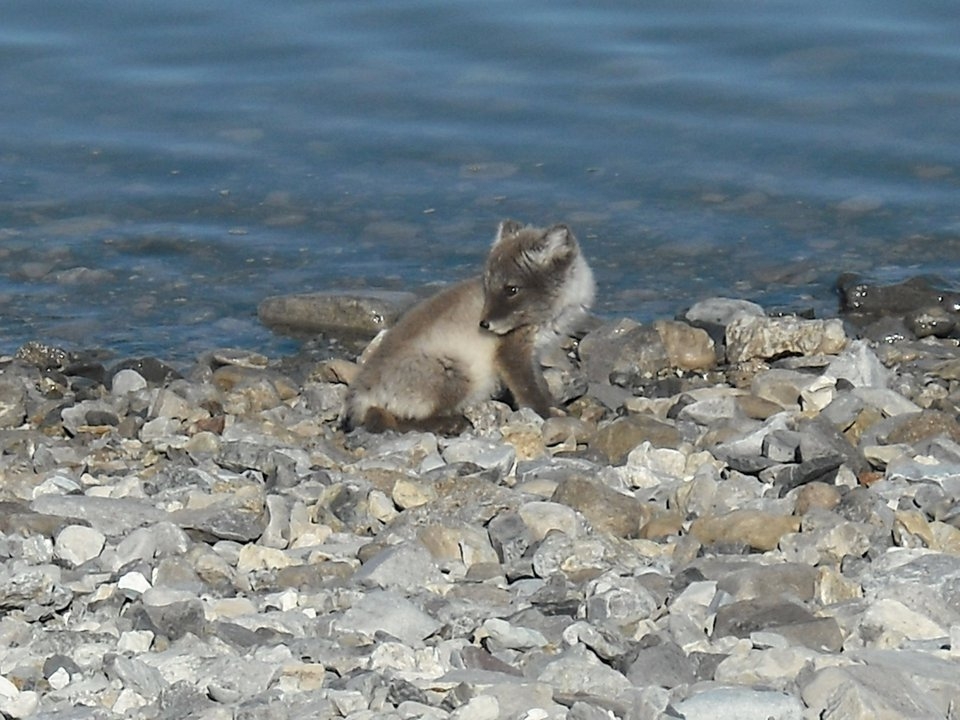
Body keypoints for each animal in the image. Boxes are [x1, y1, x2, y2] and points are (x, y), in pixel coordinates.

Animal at [340, 219, 596, 433]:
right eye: (488, 285)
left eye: (511, 289)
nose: (484, 324)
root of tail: (360, 392)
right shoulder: (512, 352)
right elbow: (529, 391)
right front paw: (547, 415)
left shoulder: (532, 354)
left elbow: (540, 384)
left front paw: (557, 407)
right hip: (457, 375)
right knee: (395, 420)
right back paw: (452, 424)